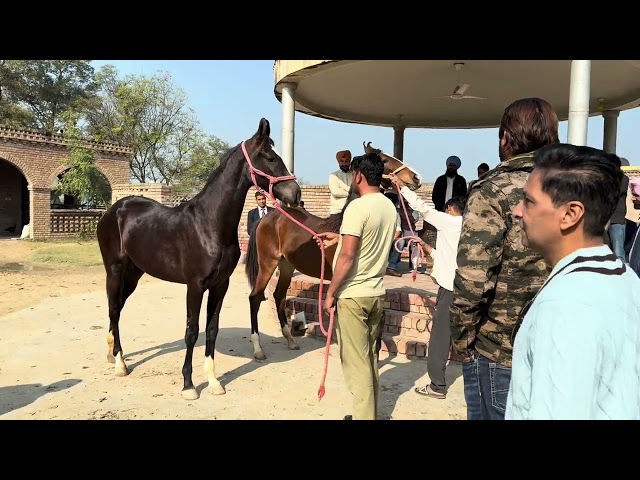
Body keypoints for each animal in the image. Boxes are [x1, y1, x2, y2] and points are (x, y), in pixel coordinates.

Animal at [96, 117, 302, 402]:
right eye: (270, 157)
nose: (296, 194)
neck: (209, 224)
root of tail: (113, 210)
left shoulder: (220, 285)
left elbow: (212, 330)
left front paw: (214, 382)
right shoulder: (195, 286)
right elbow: (192, 331)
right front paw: (188, 385)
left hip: (134, 274)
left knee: (116, 309)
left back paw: (112, 353)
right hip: (114, 270)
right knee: (114, 310)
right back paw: (120, 365)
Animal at [244, 145, 420, 360]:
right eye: (385, 160)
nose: (415, 177)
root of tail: (267, 217)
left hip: (286, 266)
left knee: (279, 296)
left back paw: (291, 340)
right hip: (268, 264)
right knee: (255, 297)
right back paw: (258, 349)